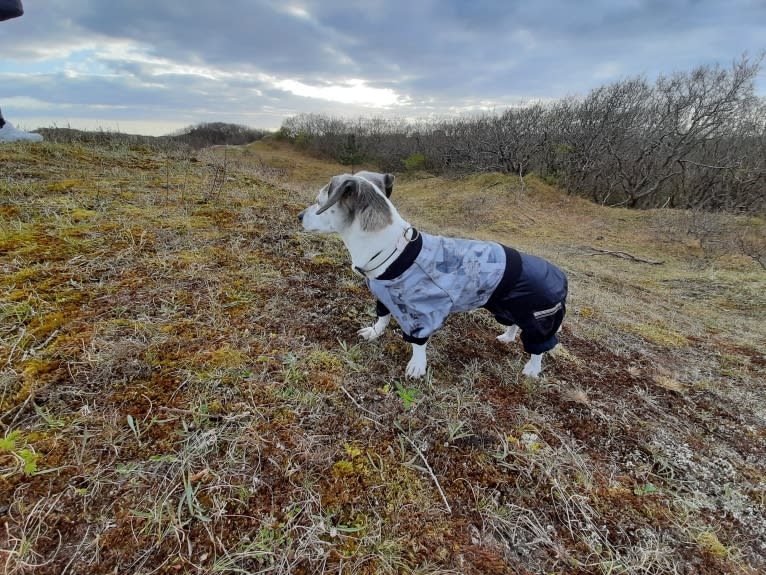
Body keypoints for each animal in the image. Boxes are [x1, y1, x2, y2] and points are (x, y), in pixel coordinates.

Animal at [300, 171, 568, 378]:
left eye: (319, 202)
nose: (299, 216)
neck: (390, 248)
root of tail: (561, 276)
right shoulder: (384, 297)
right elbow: (382, 318)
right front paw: (375, 332)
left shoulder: (423, 312)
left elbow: (418, 343)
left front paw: (417, 365)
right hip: (507, 308)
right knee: (513, 324)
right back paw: (507, 337)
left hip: (538, 319)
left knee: (539, 346)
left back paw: (533, 368)